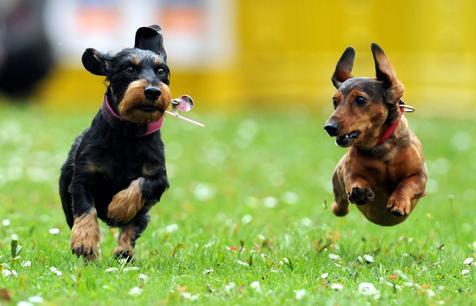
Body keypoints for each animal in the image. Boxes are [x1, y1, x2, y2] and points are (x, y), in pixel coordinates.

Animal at [59, 25, 171, 260]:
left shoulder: (159, 178)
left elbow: (141, 185)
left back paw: (124, 251)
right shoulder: (82, 178)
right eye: (129, 68)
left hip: (145, 214)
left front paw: (118, 208)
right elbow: (86, 209)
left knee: (133, 227)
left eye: (162, 71)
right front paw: (85, 242)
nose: (153, 91)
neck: (127, 134)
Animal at [324, 43, 428, 226]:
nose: (329, 127)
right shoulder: (349, 173)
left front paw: (398, 203)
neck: (381, 150)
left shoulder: (420, 176)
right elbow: (355, 179)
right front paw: (360, 191)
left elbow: (406, 184)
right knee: (340, 205)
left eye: (360, 100)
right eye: (335, 101)